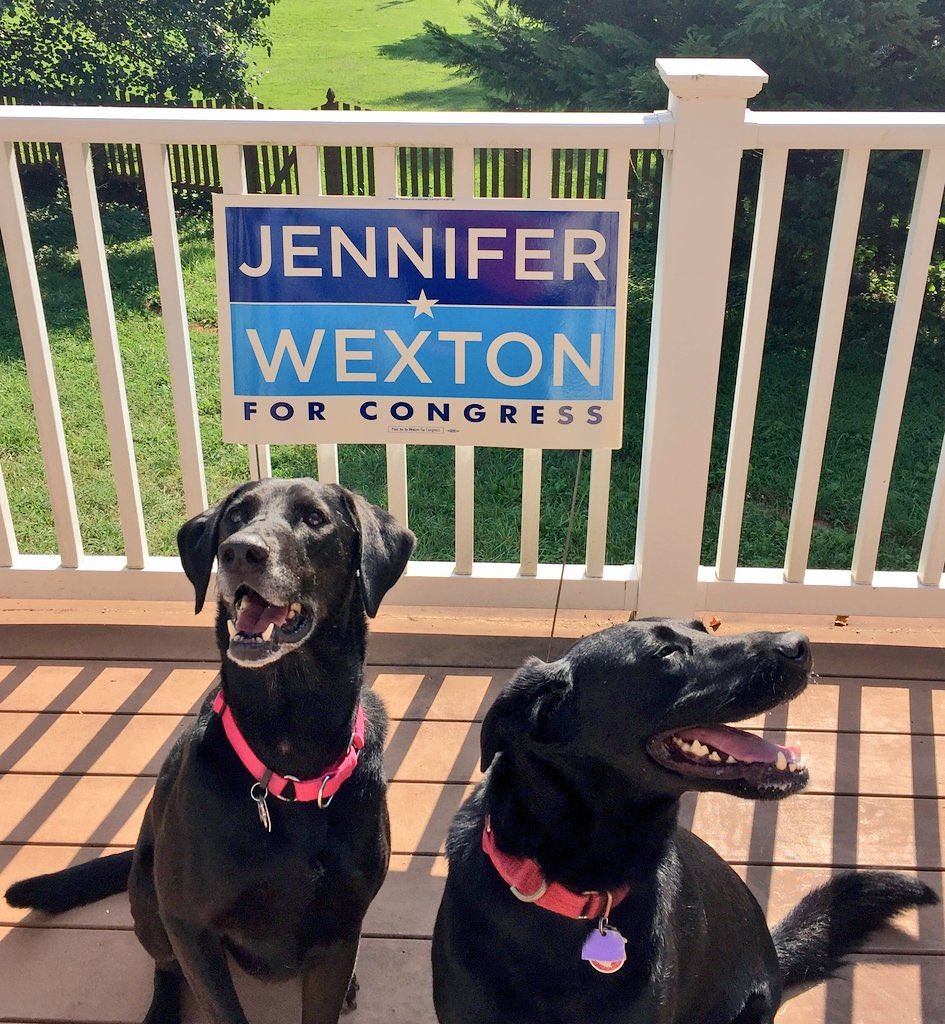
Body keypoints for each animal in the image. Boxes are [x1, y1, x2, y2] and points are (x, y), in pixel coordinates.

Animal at [6, 479, 413, 1024]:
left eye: (314, 518)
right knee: (165, 967)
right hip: (148, 900)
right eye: (236, 516)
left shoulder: (340, 930)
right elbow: (218, 1003)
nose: (240, 551)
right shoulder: (189, 924)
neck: (289, 754)